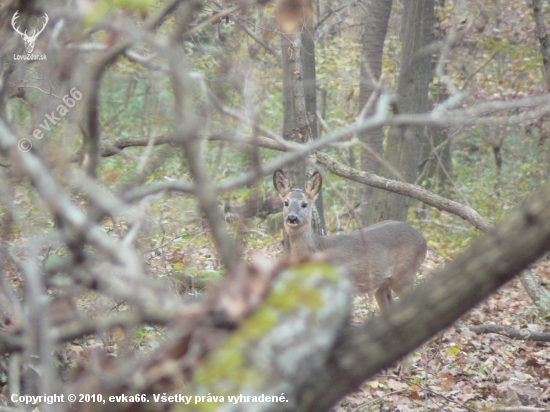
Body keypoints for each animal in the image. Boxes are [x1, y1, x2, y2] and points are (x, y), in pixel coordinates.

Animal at [274, 169, 430, 310]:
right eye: (286, 202)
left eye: (304, 204)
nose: (292, 218)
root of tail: (424, 239)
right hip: (383, 284)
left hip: (405, 274)